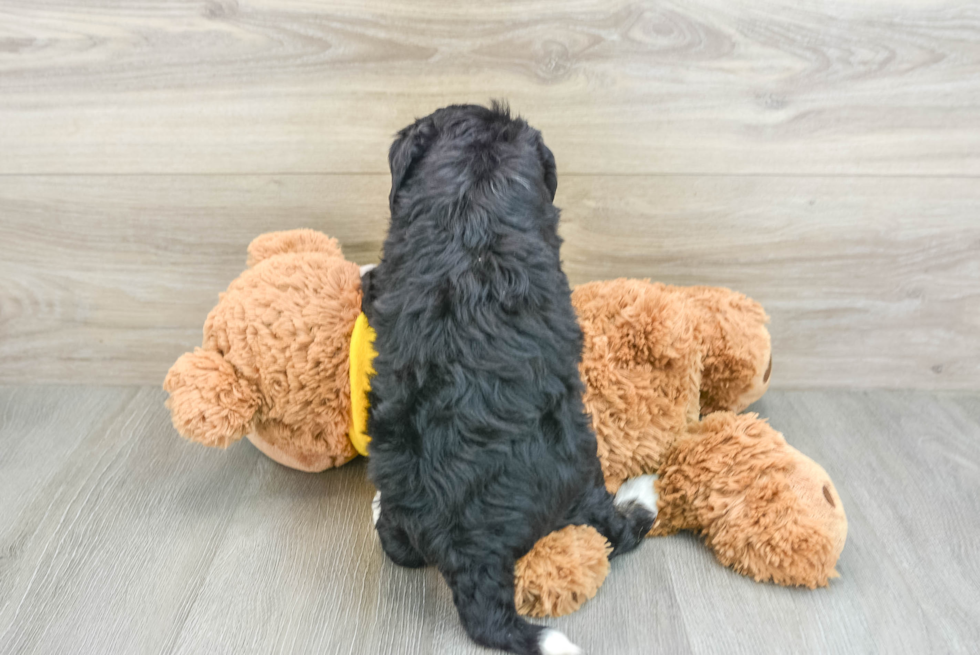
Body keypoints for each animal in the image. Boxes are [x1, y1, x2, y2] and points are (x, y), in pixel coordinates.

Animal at [364, 104, 656, 655]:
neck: (474, 200)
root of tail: (471, 550)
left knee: (397, 545)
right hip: (579, 460)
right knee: (614, 530)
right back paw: (640, 498)